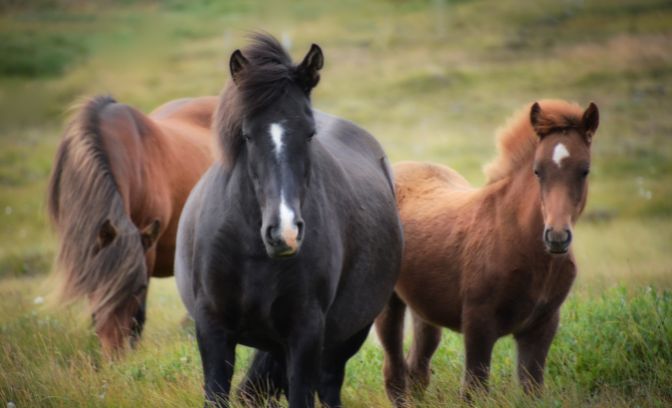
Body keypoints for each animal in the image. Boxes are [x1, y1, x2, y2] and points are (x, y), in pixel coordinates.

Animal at [174, 33, 403, 408]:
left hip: (347, 336)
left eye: (309, 134)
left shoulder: (305, 334)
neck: (253, 252)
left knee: (329, 384)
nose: (285, 233)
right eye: (247, 135)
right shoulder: (212, 329)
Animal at [375, 100, 599, 405]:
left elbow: (532, 389)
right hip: (388, 302)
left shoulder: (542, 326)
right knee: (395, 373)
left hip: (425, 307)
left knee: (417, 369)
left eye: (585, 170)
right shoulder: (478, 324)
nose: (556, 237)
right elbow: (474, 390)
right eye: (537, 170)